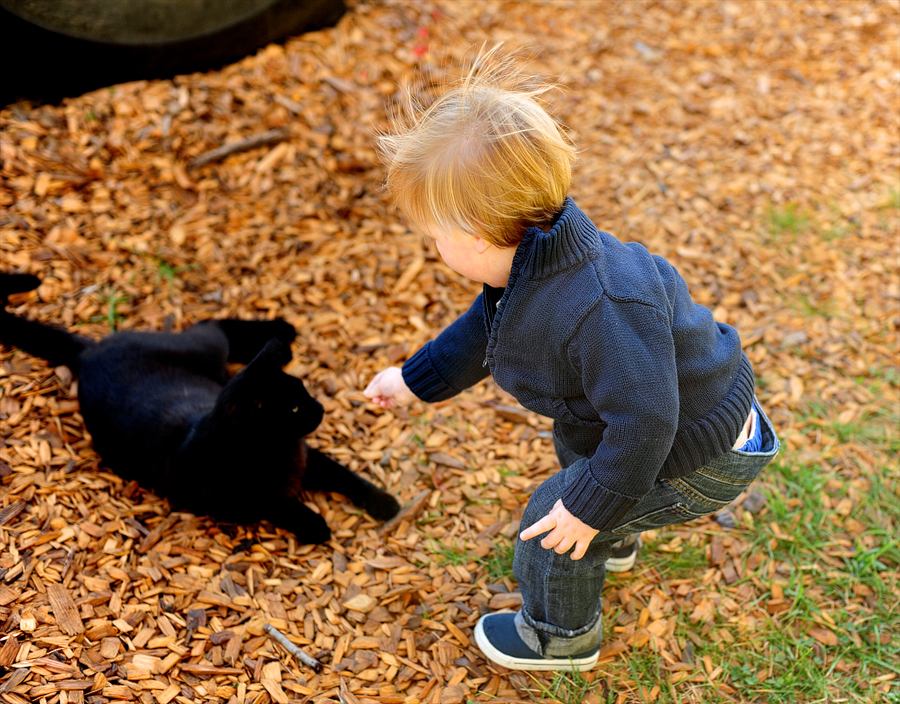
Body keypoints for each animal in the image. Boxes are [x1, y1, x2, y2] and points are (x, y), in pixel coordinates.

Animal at [0, 272, 400, 540]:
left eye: (305, 394)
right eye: (294, 408)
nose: (319, 408)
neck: (278, 452)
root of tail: (89, 353)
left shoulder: (309, 457)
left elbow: (346, 476)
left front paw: (386, 504)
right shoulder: (236, 498)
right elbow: (277, 503)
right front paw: (315, 524)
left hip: (206, 349)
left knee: (212, 325)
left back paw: (281, 335)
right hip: (205, 350)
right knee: (210, 324)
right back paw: (282, 337)